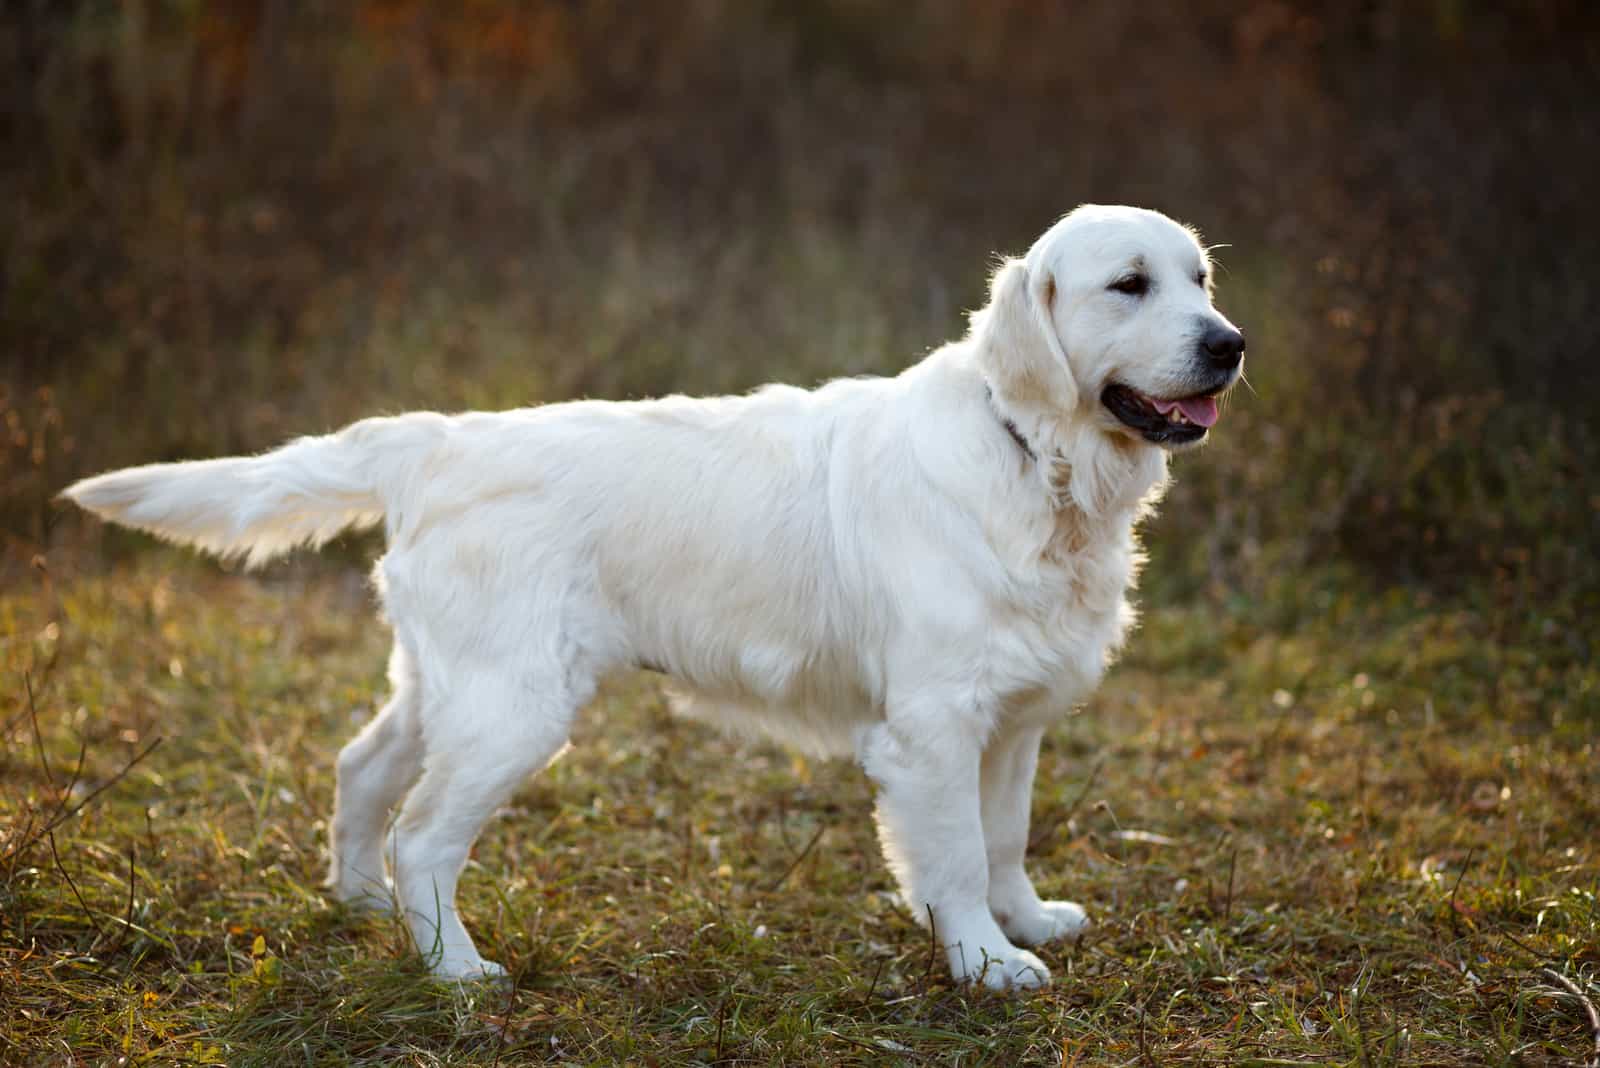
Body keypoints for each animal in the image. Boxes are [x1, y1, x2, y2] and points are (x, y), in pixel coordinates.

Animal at [65, 204, 1235, 991]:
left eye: (1200, 278)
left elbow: (1003, 837)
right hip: (516, 705)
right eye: (1129, 284)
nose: (1229, 344)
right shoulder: (933, 726)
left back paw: (360, 906)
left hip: (446, 684)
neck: (1037, 461)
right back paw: (456, 971)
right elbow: (950, 852)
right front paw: (986, 964)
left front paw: (1025, 923)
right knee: (423, 836)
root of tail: (434, 435)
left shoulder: (1013, 719)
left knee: (363, 771)